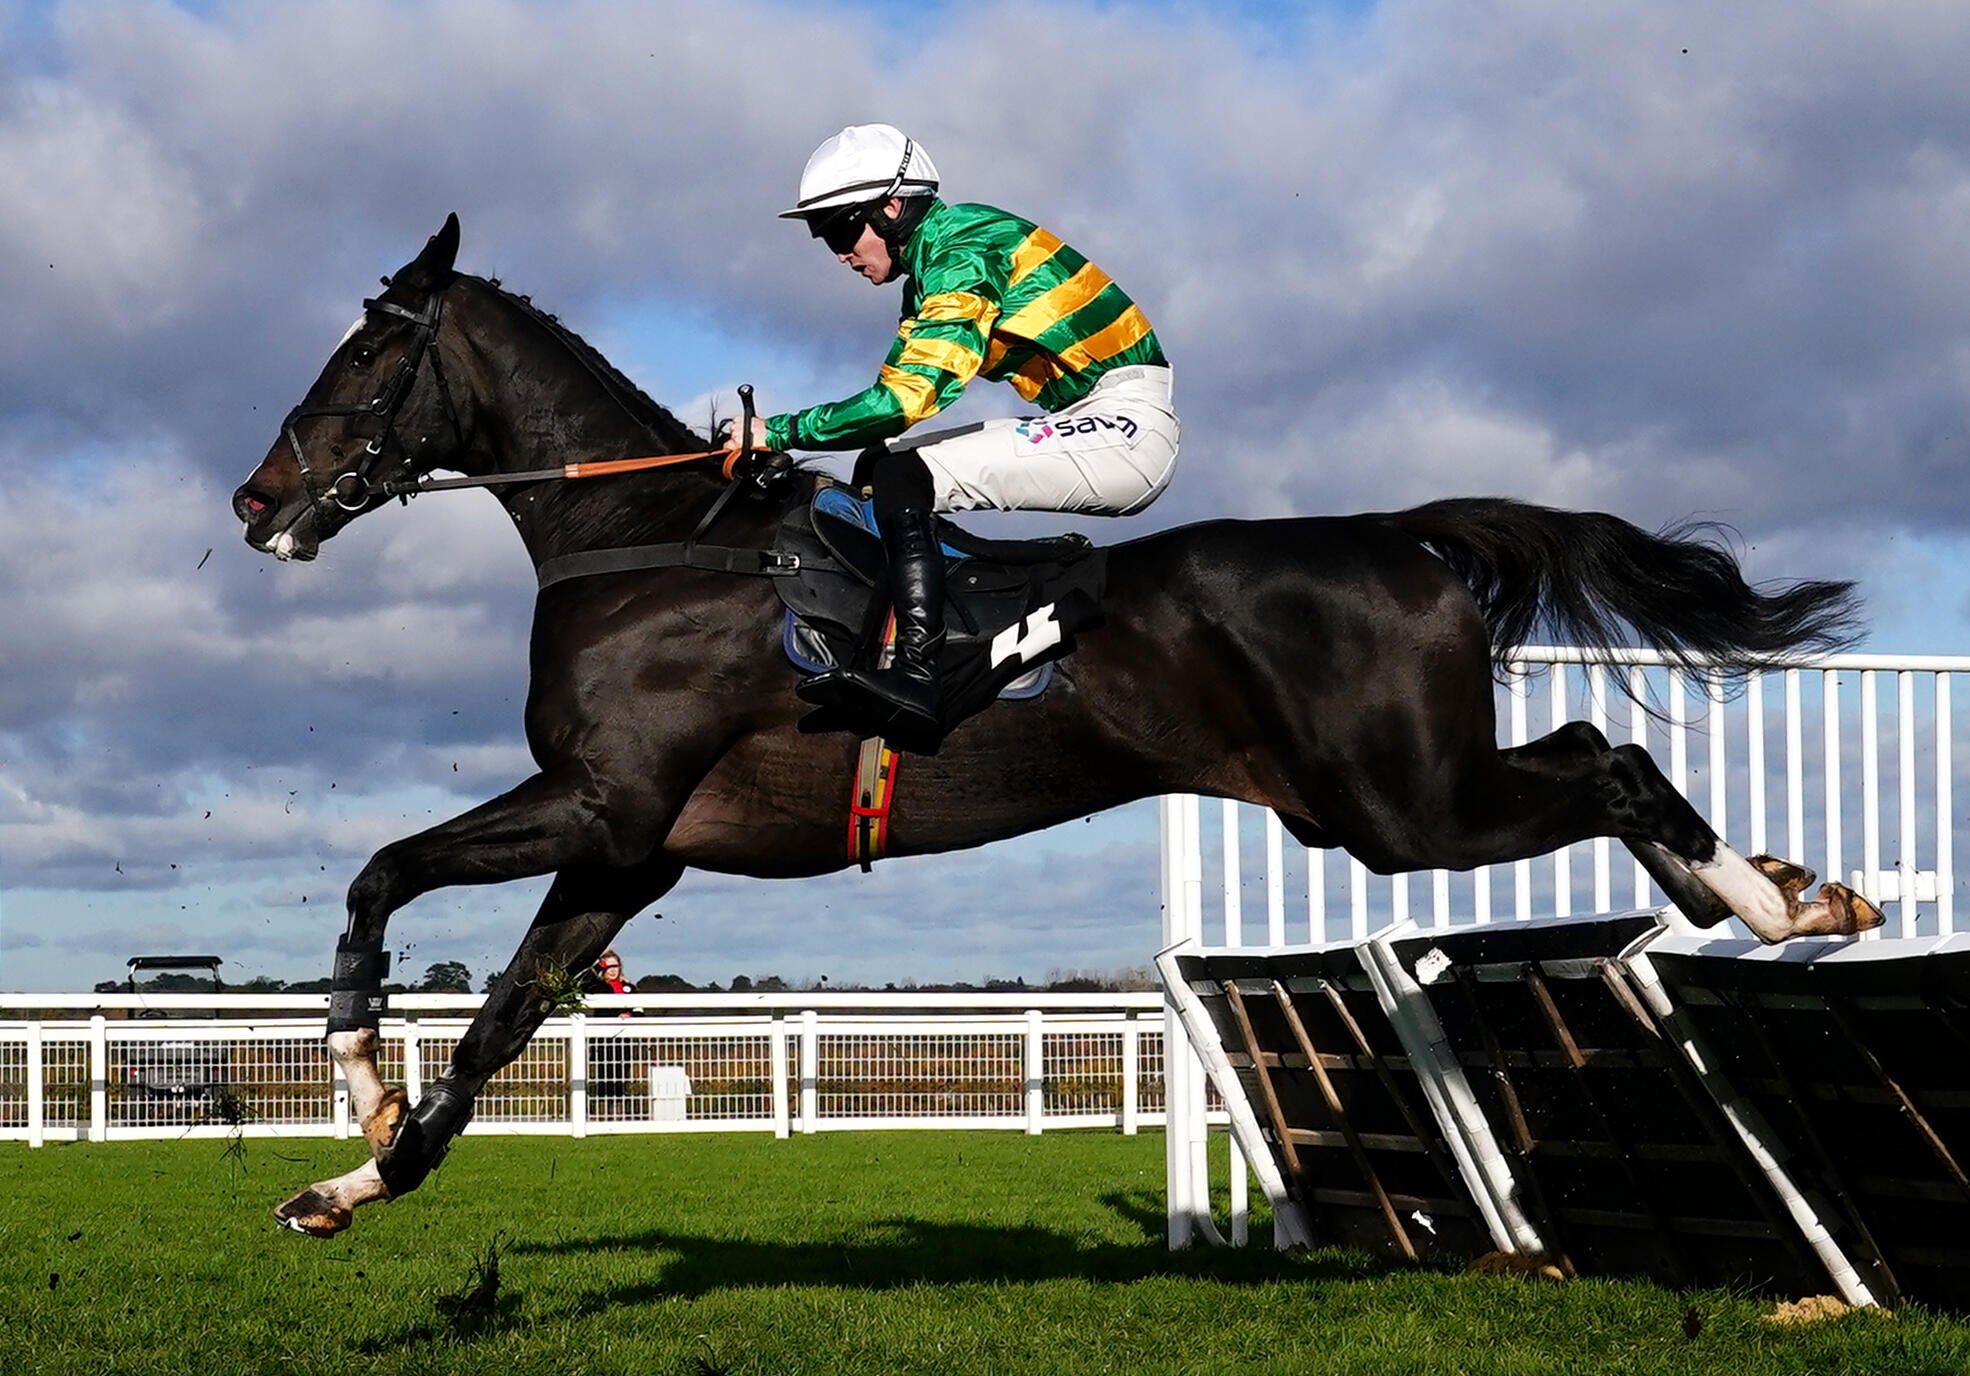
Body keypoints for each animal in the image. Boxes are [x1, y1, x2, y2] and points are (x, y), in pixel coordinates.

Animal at [234, 211, 1875, 1230]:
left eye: (367, 355)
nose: (257, 500)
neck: (649, 540)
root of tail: (1393, 535)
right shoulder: (632, 849)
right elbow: (500, 1018)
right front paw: (357, 1179)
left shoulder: (607, 802)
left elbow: (379, 875)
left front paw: (358, 1080)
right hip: (1366, 801)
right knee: (1603, 760)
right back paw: (1775, 894)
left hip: (1405, 805)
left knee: (1613, 760)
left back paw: (1774, 900)